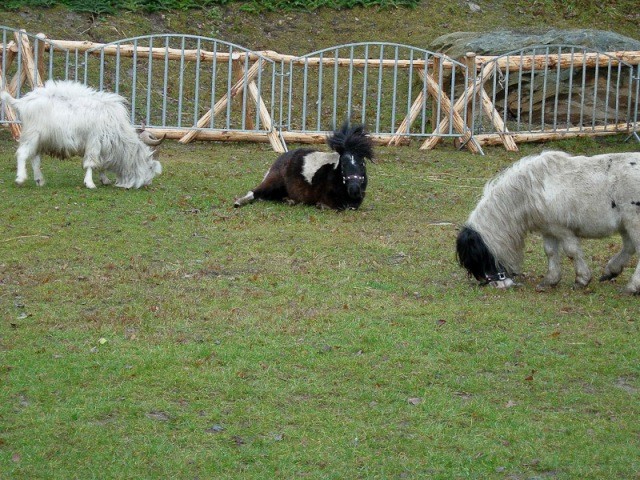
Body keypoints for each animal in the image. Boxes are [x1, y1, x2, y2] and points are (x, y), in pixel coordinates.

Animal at [3, 79, 162, 188]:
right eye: (150, 166)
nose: (148, 183)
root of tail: (22, 102)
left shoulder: (102, 148)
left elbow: (100, 164)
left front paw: (105, 180)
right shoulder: (94, 142)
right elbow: (91, 163)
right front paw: (90, 183)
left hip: (41, 140)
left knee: (35, 158)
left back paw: (40, 180)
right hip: (32, 135)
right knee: (23, 154)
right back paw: (20, 178)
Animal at [235, 124, 376, 210]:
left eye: (362, 164)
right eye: (343, 164)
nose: (354, 189)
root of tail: (281, 159)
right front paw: (321, 205)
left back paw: (289, 201)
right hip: (273, 182)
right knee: (254, 192)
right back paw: (238, 202)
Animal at [456, 150, 640, 292]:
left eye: (481, 256)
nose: (498, 285)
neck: (531, 190)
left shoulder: (562, 230)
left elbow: (572, 252)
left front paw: (582, 280)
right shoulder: (548, 230)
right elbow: (550, 252)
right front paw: (550, 280)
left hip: (633, 223)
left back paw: (631, 287)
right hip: (625, 225)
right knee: (629, 247)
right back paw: (611, 271)